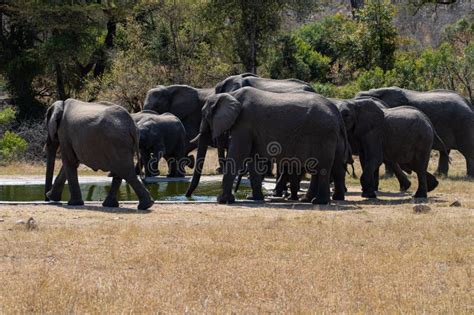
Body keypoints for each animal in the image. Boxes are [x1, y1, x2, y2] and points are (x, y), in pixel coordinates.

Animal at [185, 87, 348, 205]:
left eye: (205, 115)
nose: (188, 196)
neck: (231, 95)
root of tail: (336, 112)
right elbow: (252, 160)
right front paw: (254, 198)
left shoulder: (244, 123)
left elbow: (238, 154)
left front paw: (223, 200)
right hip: (332, 136)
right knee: (331, 166)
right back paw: (325, 199)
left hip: (323, 134)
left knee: (323, 167)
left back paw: (318, 202)